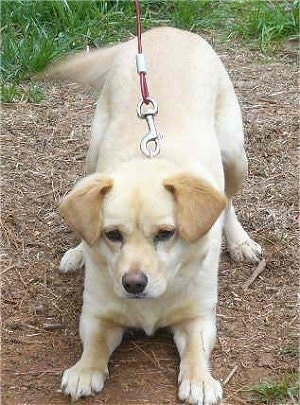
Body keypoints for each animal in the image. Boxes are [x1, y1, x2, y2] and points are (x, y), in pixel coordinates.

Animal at [50, 28, 262, 404]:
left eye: (165, 234)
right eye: (113, 235)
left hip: (235, 155)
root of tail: (166, 29)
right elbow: (94, 343)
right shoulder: (96, 314)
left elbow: (195, 350)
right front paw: (85, 370)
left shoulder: (198, 318)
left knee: (226, 200)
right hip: (93, 154)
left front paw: (199, 380)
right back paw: (77, 253)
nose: (133, 283)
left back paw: (239, 241)